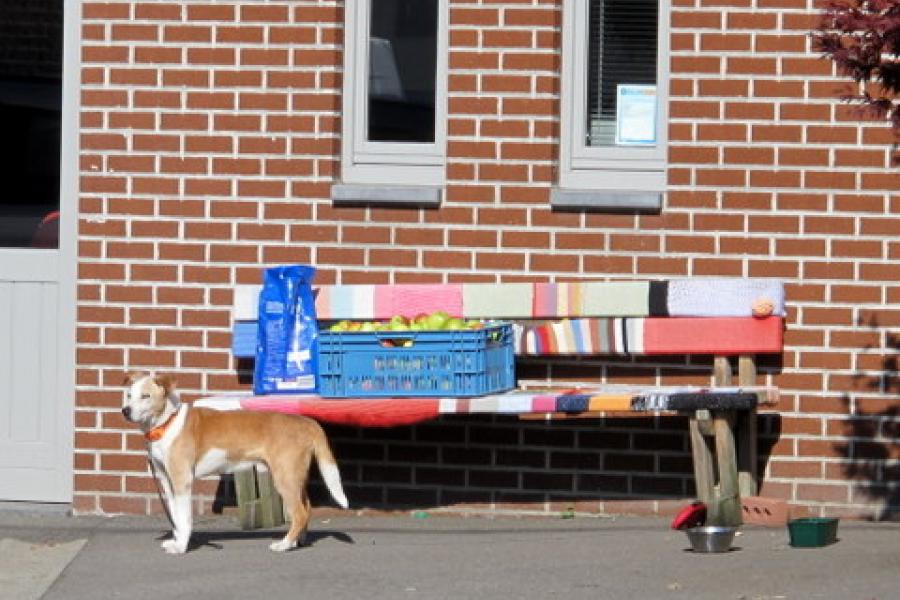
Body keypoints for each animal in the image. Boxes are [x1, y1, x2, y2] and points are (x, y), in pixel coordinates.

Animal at [119, 372, 344, 556]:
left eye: (146, 396)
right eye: (129, 395)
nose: (125, 411)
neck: (168, 422)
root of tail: (306, 422)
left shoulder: (182, 481)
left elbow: (184, 518)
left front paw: (181, 547)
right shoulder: (167, 481)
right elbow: (175, 516)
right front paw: (176, 541)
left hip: (285, 478)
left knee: (299, 513)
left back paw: (284, 544)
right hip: (295, 476)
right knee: (307, 509)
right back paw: (297, 541)